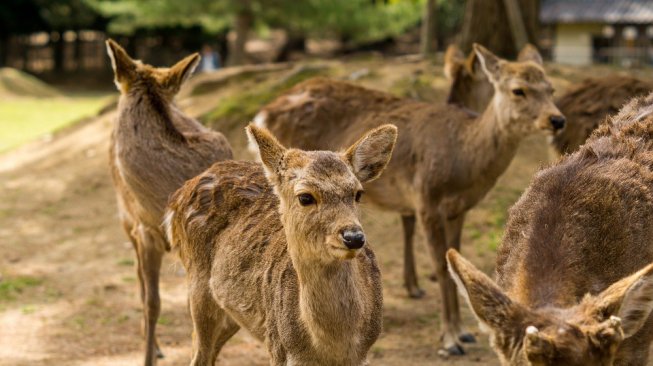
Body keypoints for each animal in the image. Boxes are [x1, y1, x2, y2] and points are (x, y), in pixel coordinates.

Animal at [166, 123, 394, 366]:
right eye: (305, 197)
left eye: (358, 193)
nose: (354, 237)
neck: (331, 348)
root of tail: (180, 193)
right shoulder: (279, 347)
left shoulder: (363, 353)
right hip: (197, 282)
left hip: (231, 309)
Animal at [252, 43, 564, 354]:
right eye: (518, 90)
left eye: (551, 88)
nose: (557, 119)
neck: (465, 161)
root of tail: (263, 113)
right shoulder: (426, 199)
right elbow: (439, 266)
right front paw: (450, 339)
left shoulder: (459, 209)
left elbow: (453, 259)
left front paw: (462, 332)